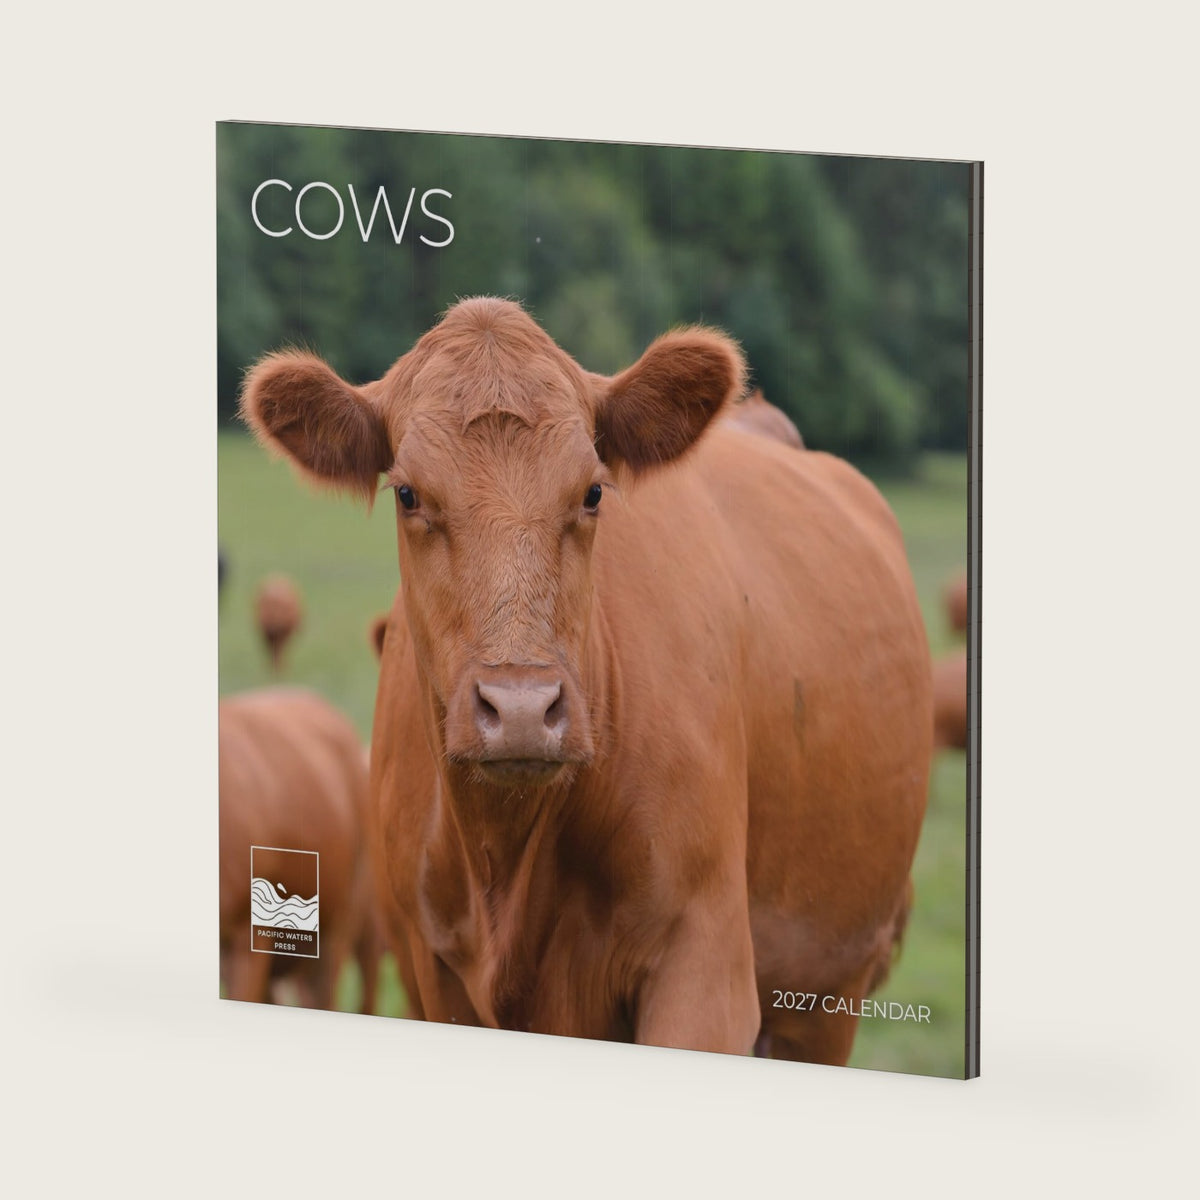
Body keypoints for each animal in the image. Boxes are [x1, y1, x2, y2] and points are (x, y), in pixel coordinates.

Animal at [241, 297, 932, 1064]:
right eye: (408, 494)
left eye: (594, 491)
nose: (520, 709)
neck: (507, 861)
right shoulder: (431, 972)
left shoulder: (706, 971)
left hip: (829, 989)